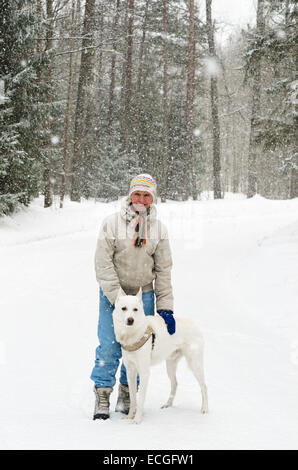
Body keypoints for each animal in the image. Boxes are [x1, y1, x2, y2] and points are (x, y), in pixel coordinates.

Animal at [113, 286, 208, 426]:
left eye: (135, 309)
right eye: (124, 308)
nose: (130, 320)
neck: (132, 335)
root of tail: (194, 323)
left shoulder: (144, 372)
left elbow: (140, 399)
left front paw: (137, 420)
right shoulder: (130, 371)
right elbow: (133, 398)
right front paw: (130, 416)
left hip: (194, 364)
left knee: (204, 386)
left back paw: (205, 409)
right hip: (170, 364)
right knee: (175, 383)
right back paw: (168, 404)